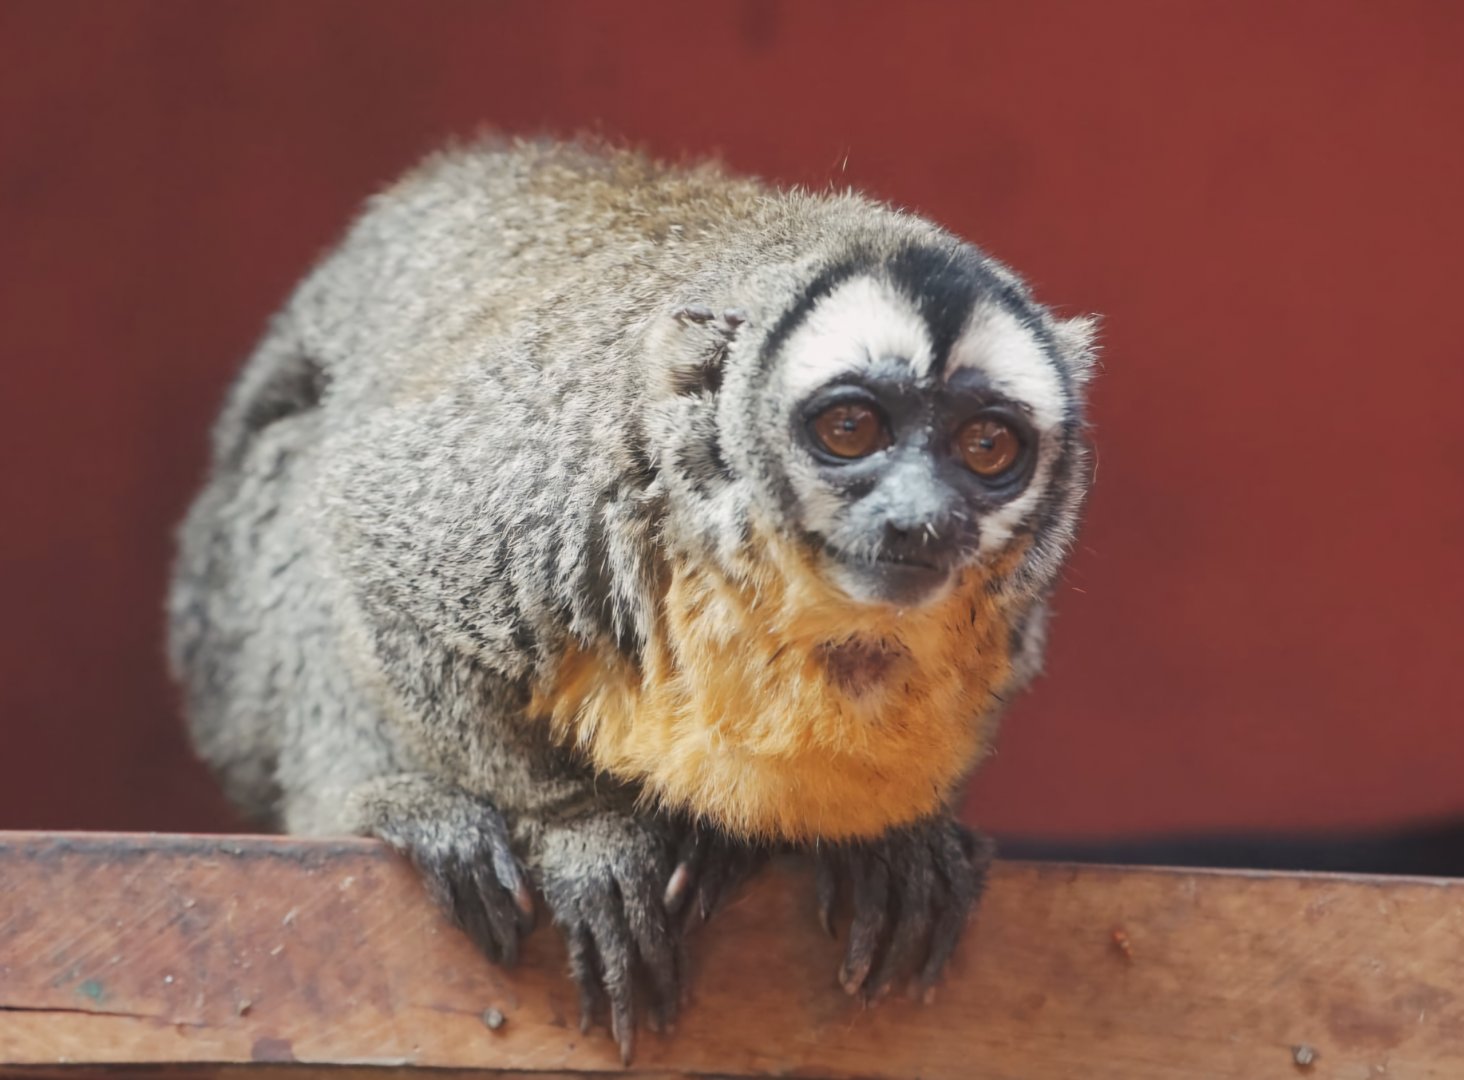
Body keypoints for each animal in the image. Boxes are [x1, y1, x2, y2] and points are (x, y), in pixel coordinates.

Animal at [167, 137, 1095, 1062]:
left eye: (986, 446)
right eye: (850, 430)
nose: (920, 519)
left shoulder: (1007, 622)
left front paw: (893, 841)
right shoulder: (567, 482)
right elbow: (373, 535)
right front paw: (582, 830)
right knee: (300, 462)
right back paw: (391, 801)